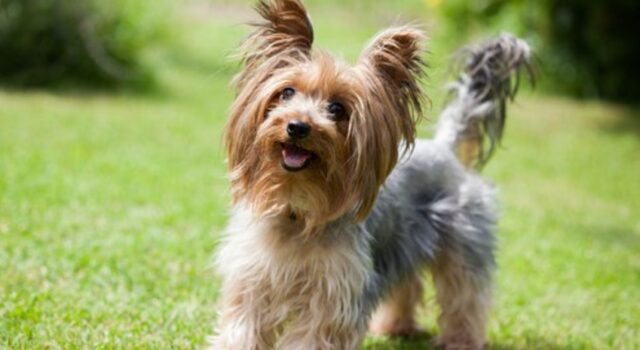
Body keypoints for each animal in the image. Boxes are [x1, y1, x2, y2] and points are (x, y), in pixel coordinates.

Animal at [212, 1, 532, 348]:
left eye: (337, 109)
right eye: (286, 93)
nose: (297, 126)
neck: (297, 207)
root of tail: (445, 147)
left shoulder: (334, 295)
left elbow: (313, 336)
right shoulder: (252, 280)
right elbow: (242, 328)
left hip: (463, 239)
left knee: (465, 294)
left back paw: (460, 340)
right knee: (408, 284)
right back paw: (394, 327)